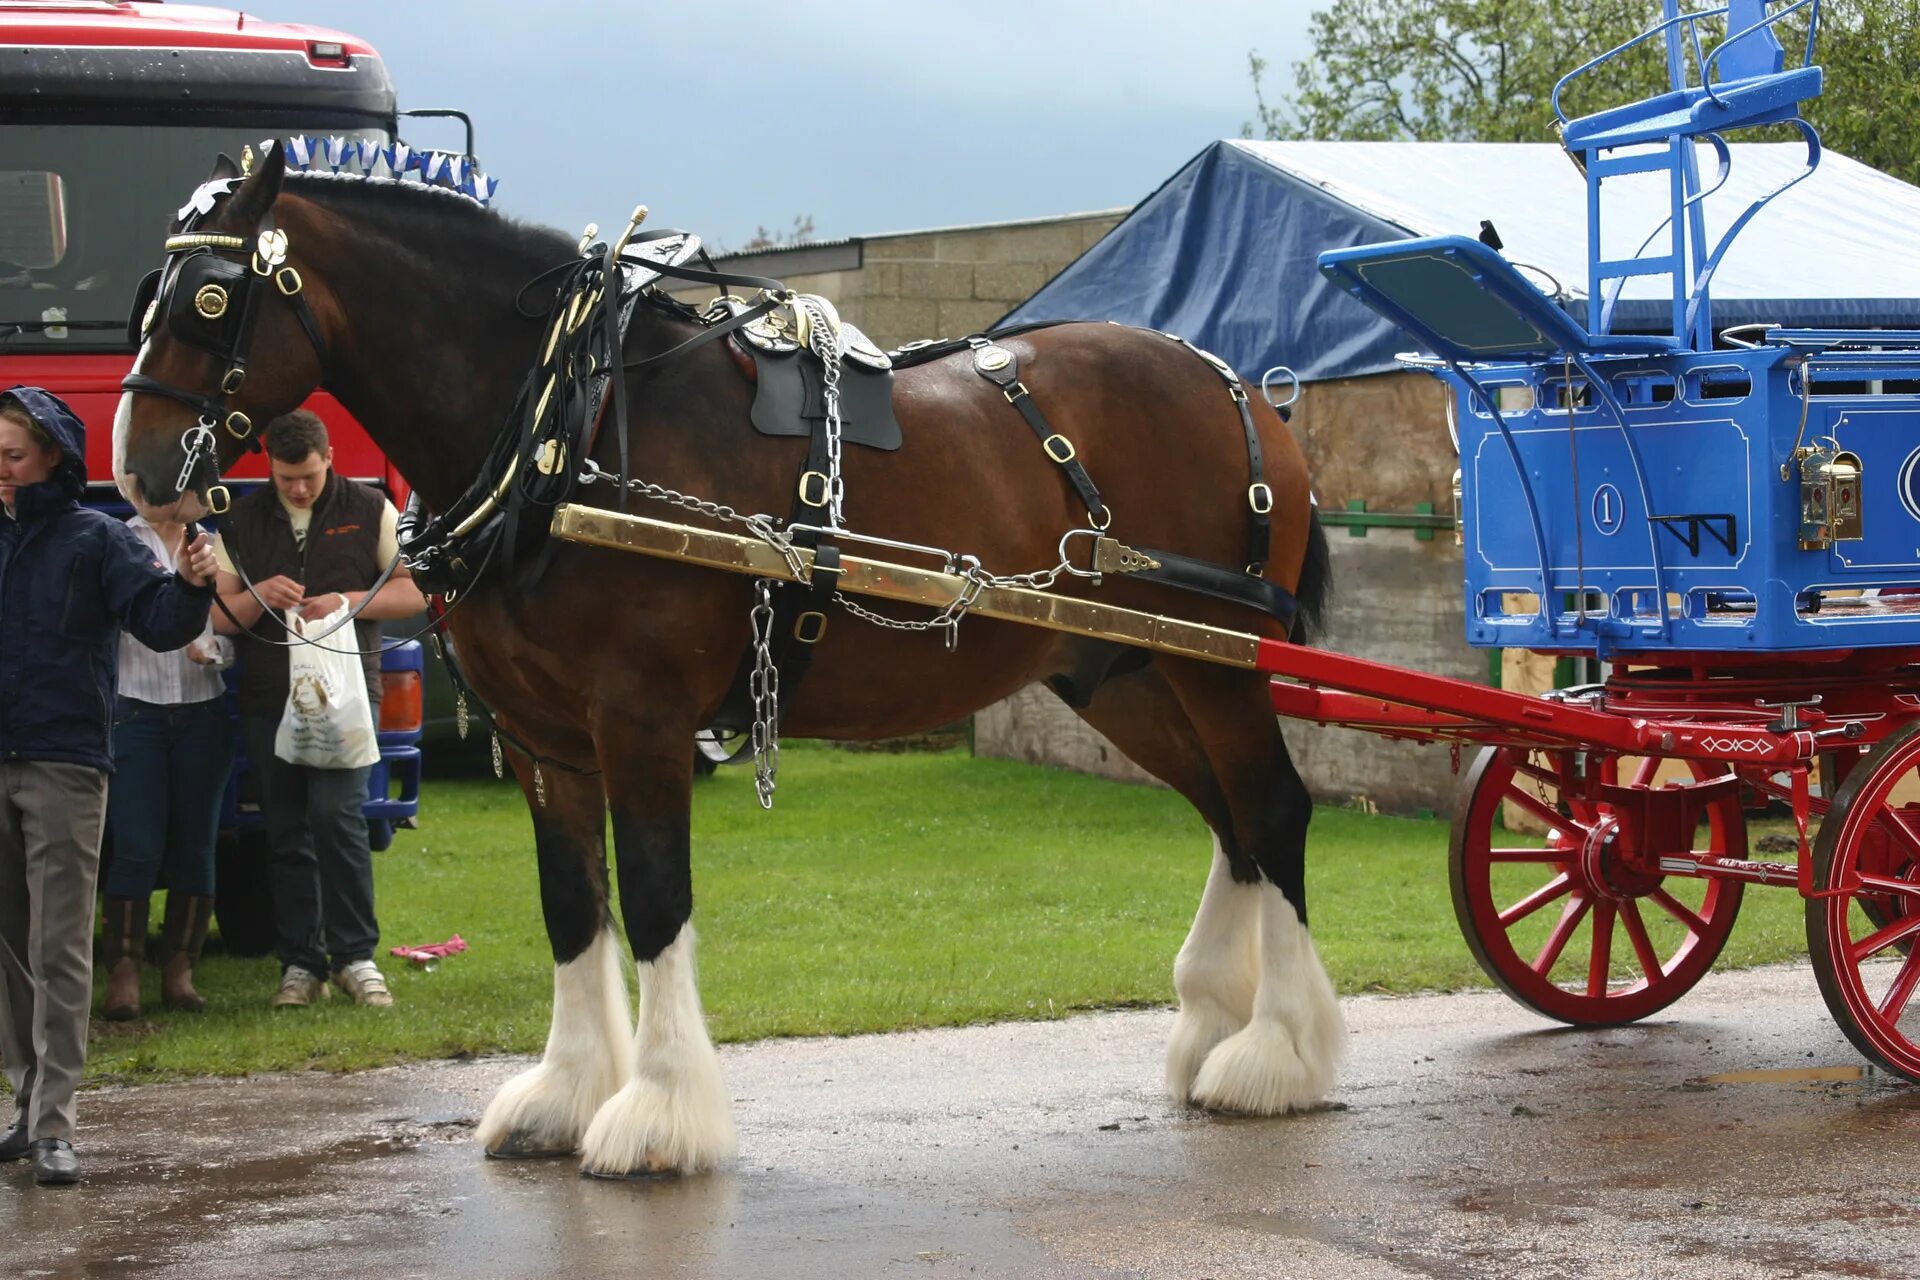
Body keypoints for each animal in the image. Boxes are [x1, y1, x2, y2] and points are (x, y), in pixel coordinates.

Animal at [112, 144, 1344, 1174]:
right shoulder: (545, 739)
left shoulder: (641, 716)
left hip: (1216, 663)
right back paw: (1213, 1027)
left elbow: (657, 900)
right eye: (148, 297)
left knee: (1272, 809)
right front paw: (566, 1093)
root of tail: (1243, 389)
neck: (571, 427)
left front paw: (659, 1112)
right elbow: (574, 906)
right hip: (1127, 673)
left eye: (212, 299)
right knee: (1232, 821)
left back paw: (1277, 1053)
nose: (136, 469)